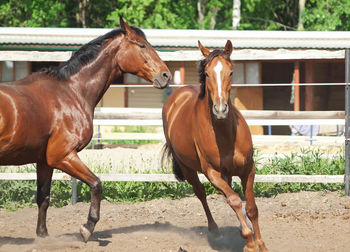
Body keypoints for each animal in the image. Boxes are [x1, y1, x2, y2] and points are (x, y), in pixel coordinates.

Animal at [0, 17, 171, 242]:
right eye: (142, 45)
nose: (165, 75)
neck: (71, 92)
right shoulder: (62, 156)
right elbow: (96, 184)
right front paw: (87, 227)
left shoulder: (45, 161)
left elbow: (43, 198)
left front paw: (43, 236)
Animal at [161, 40, 268, 251]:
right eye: (207, 73)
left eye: (231, 72)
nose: (220, 110)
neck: (225, 134)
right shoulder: (212, 173)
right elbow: (234, 200)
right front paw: (249, 242)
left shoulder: (248, 168)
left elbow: (251, 207)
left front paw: (260, 243)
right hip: (189, 169)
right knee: (202, 194)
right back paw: (215, 230)